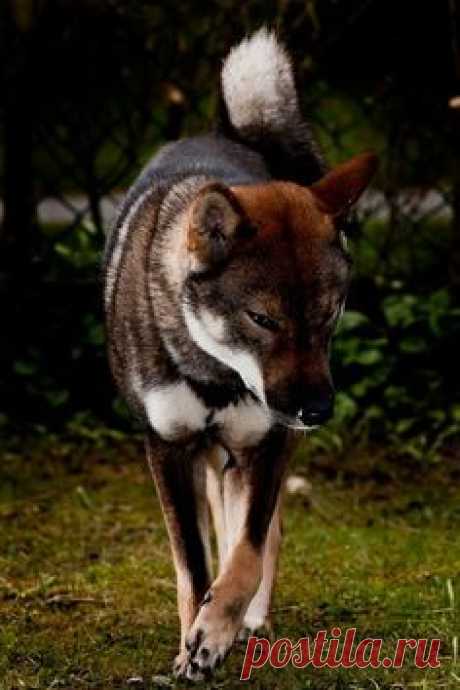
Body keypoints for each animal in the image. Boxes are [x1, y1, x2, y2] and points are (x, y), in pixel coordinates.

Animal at [104, 29, 378, 680]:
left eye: (330, 314)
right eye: (263, 320)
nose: (318, 411)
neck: (215, 373)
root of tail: (228, 131)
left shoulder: (267, 441)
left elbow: (248, 550)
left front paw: (216, 632)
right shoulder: (168, 449)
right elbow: (193, 563)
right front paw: (192, 641)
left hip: (247, 453)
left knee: (258, 532)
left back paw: (249, 622)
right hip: (214, 458)